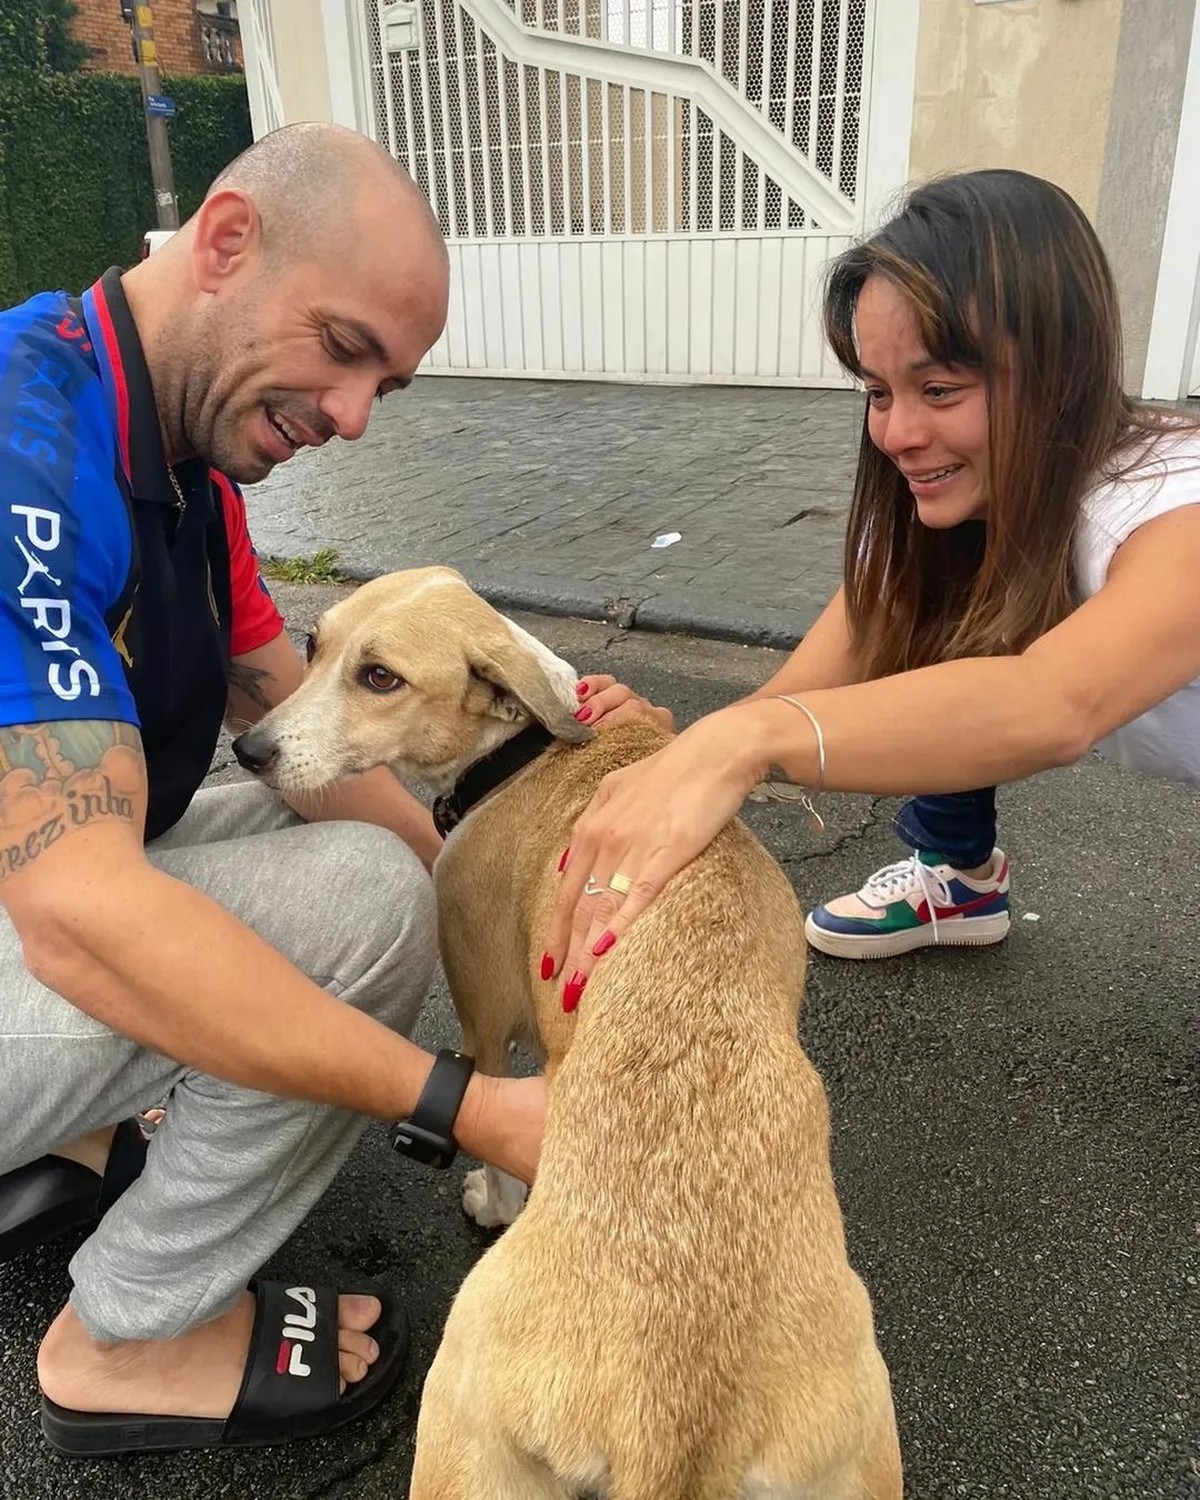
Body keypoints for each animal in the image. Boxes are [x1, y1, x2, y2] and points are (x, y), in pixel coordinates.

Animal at [234, 564, 900, 1500]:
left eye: (380, 678)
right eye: (312, 644)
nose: (250, 751)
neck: (529, 745)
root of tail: (673, 1423)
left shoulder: (483, 1015)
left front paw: (492, 1198)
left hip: (457, 1430)